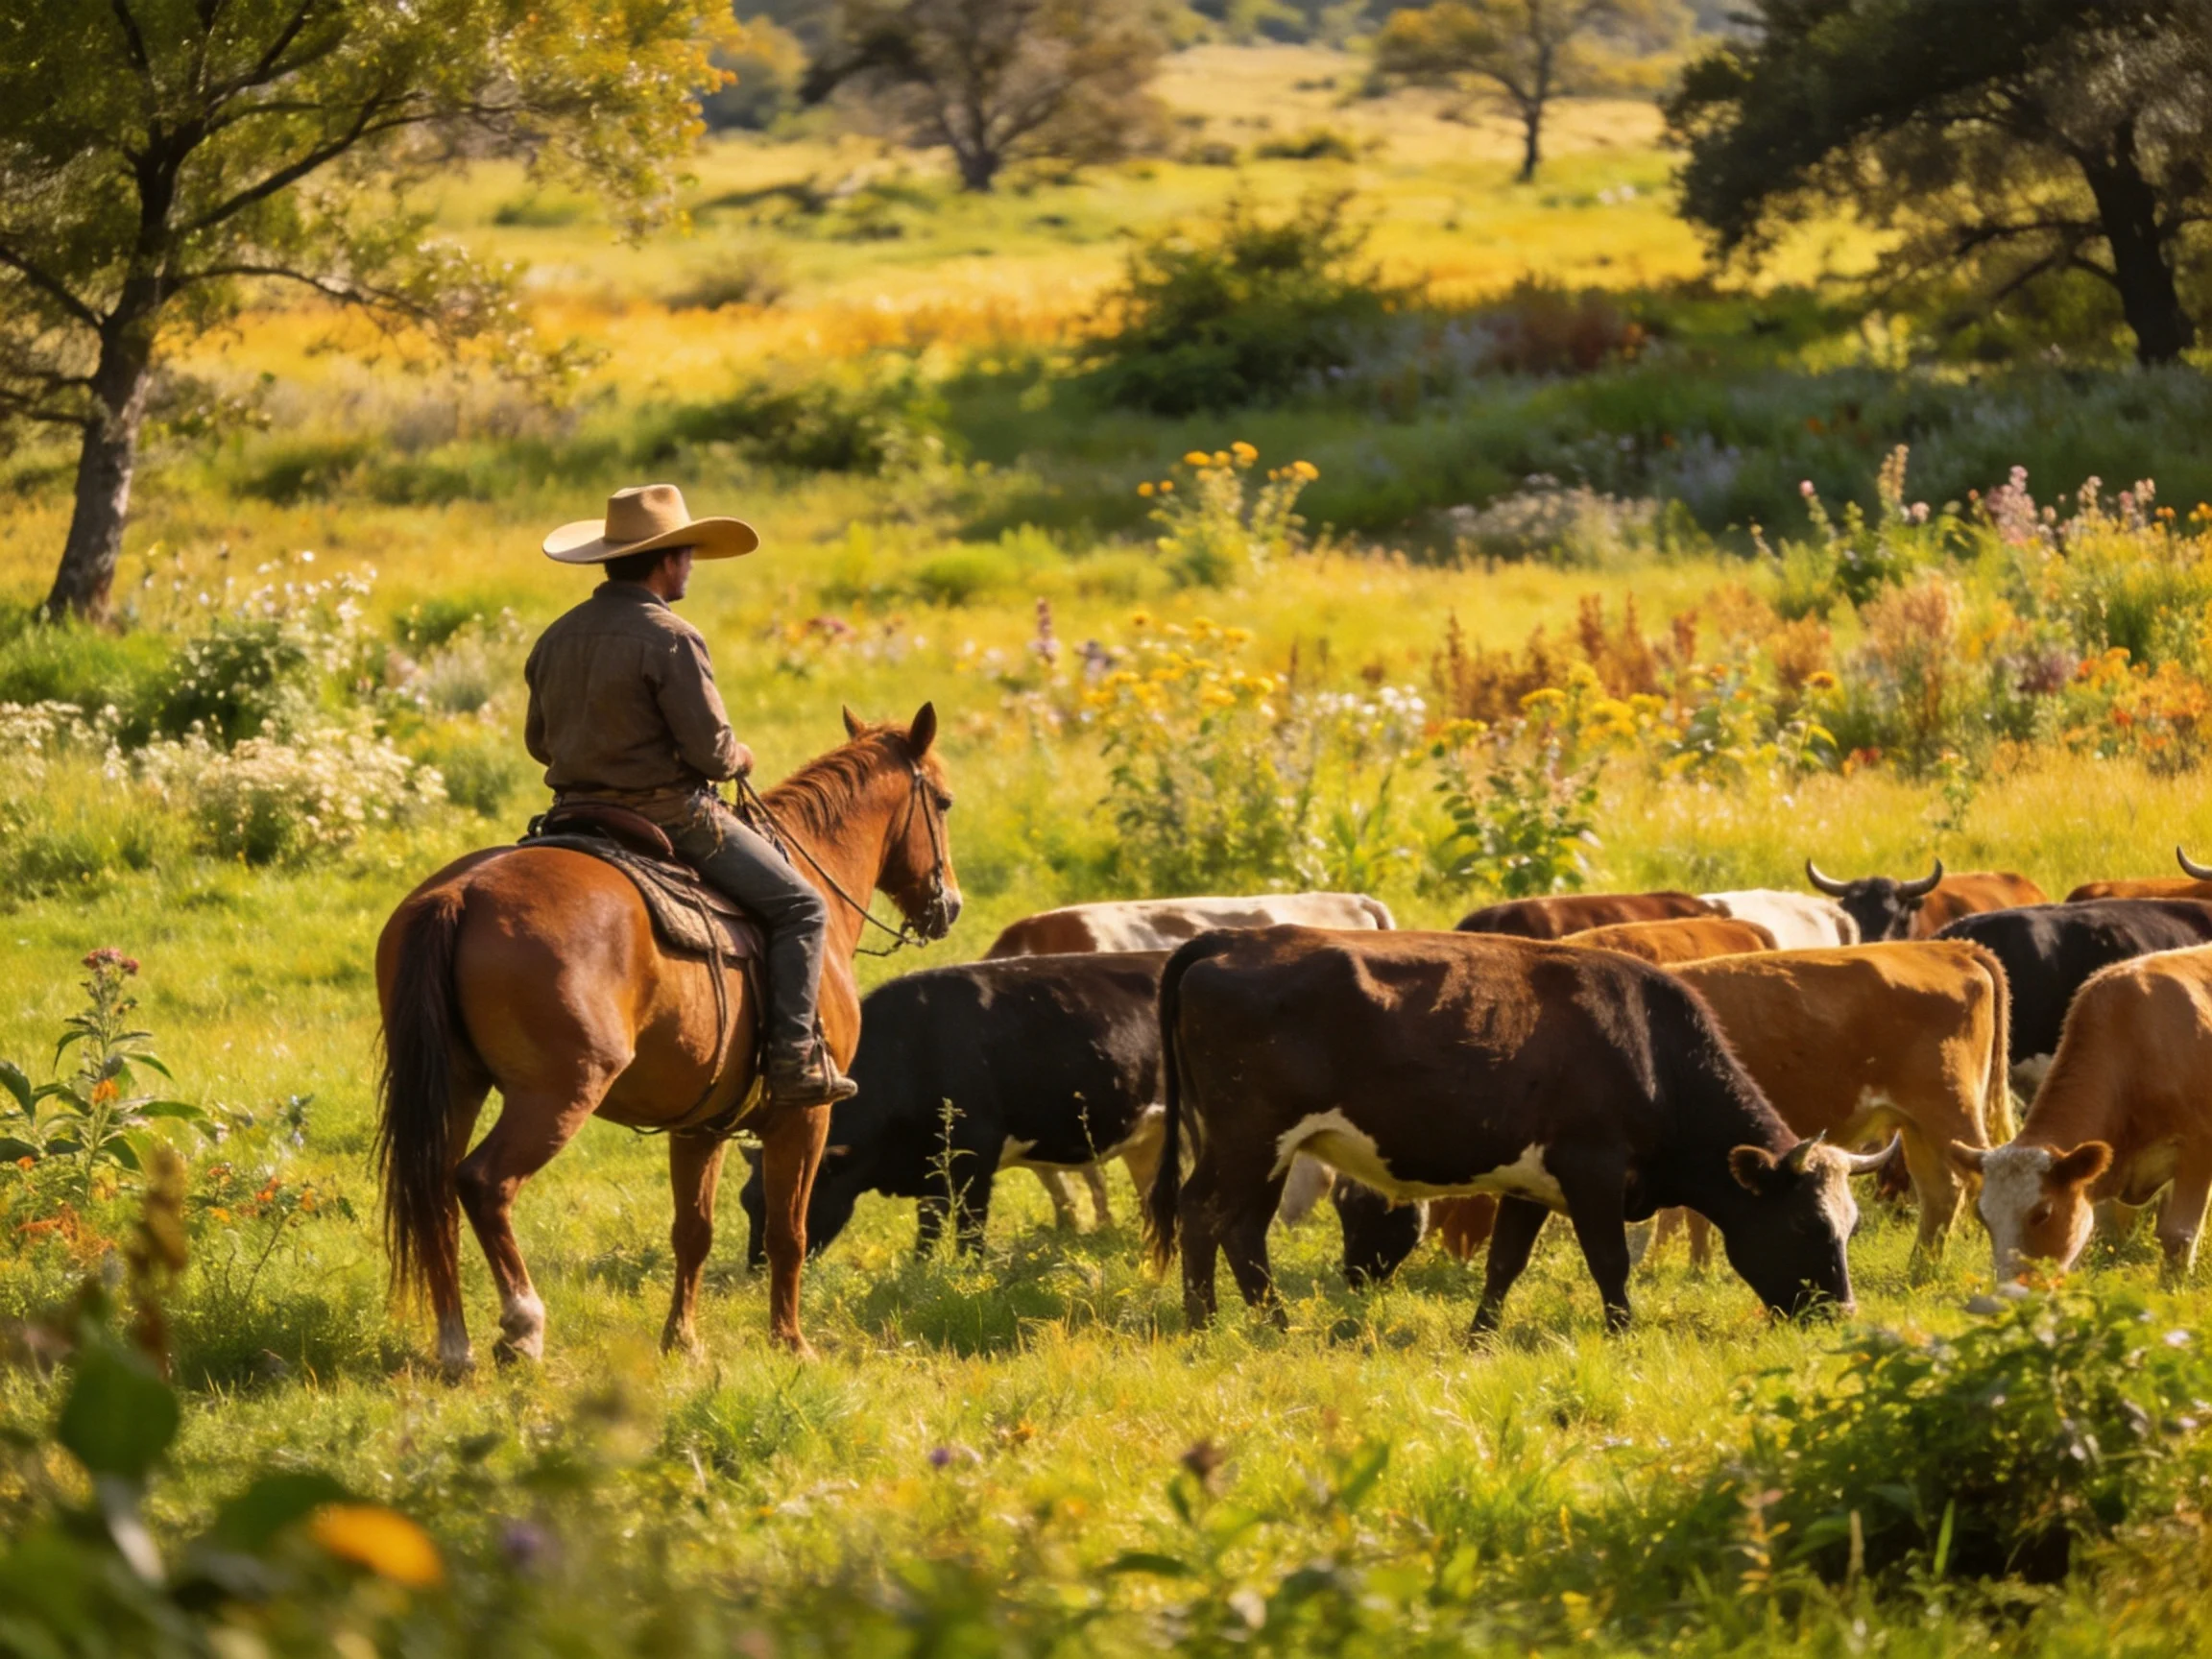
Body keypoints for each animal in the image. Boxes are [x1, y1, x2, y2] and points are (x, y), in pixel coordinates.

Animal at [373, 704, 959, 1369]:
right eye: (943, 802)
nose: (950, 905)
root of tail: (460, 892)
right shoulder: (805, 1117)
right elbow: (788, 1231)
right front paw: (792, 1343)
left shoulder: (700, 1126)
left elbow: (693, 1232)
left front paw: (682, 1341)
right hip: (556, 1097)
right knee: (483, 1185)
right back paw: (522, 1326)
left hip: (455, 1086)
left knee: (434, 1193)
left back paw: (455, 1346)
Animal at [735, 954, 1168, 1267]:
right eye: (747, 1201)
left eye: (795, 1205)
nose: (758, 1268)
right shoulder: (930, 1169)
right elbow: (929, 1226)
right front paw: (920, 1271)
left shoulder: (975, 1157)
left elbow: (969, 1230)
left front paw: (968, 1275)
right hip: (1148, 1141)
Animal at [1146, 927, 1892, 1337]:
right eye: (1807, 1224)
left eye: (1851, 1226)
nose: (1843, 1316)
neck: (1650, 1051)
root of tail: (1229, 939)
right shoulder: (1592, 1172)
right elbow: (1610, 1261)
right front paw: (1624, 1334)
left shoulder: (1530, 1187)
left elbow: (1505, 1263)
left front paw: (1479, 1337)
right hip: (1248, 1138)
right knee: (1202, 1213)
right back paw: (1203, 1326)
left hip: (1265, 1150)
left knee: (1244, 1230)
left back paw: (1276, 1325)